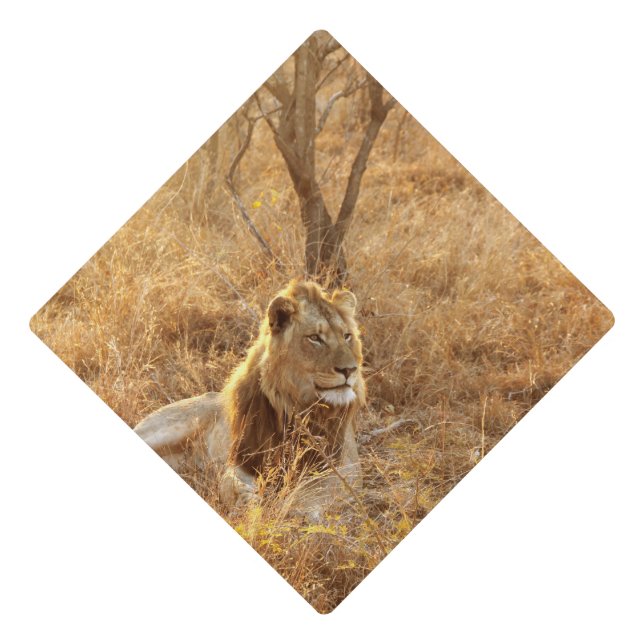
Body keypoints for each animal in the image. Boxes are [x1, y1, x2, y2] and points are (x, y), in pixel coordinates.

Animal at [133, 280, 365, 517]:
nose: (350, 370)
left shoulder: (346, 466)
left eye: (347, 336)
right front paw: (244, 499)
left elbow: (312, 490)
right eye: (315, 338)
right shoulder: (244, 457)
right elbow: (228, 480)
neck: (294, 405)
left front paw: (288, 507)